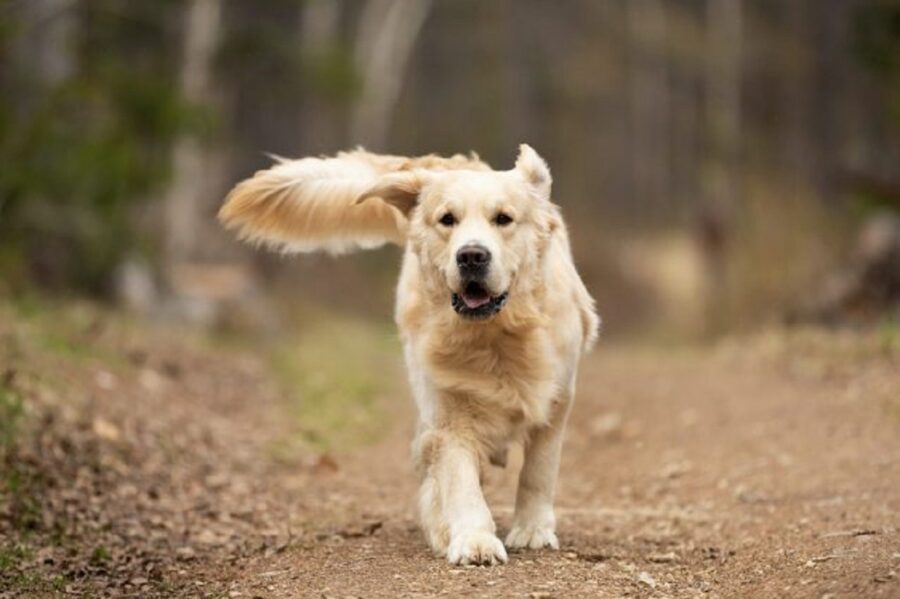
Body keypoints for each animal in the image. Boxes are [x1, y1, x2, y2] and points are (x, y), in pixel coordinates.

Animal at [217, 146, 596, 568]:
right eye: (447, 219)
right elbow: (460, 479)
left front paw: (532, 530)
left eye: (503, 218)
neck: (493, 338)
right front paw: (474, 538)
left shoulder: (558, 399)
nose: (471, 256)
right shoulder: (448, 412)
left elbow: (538, 471)